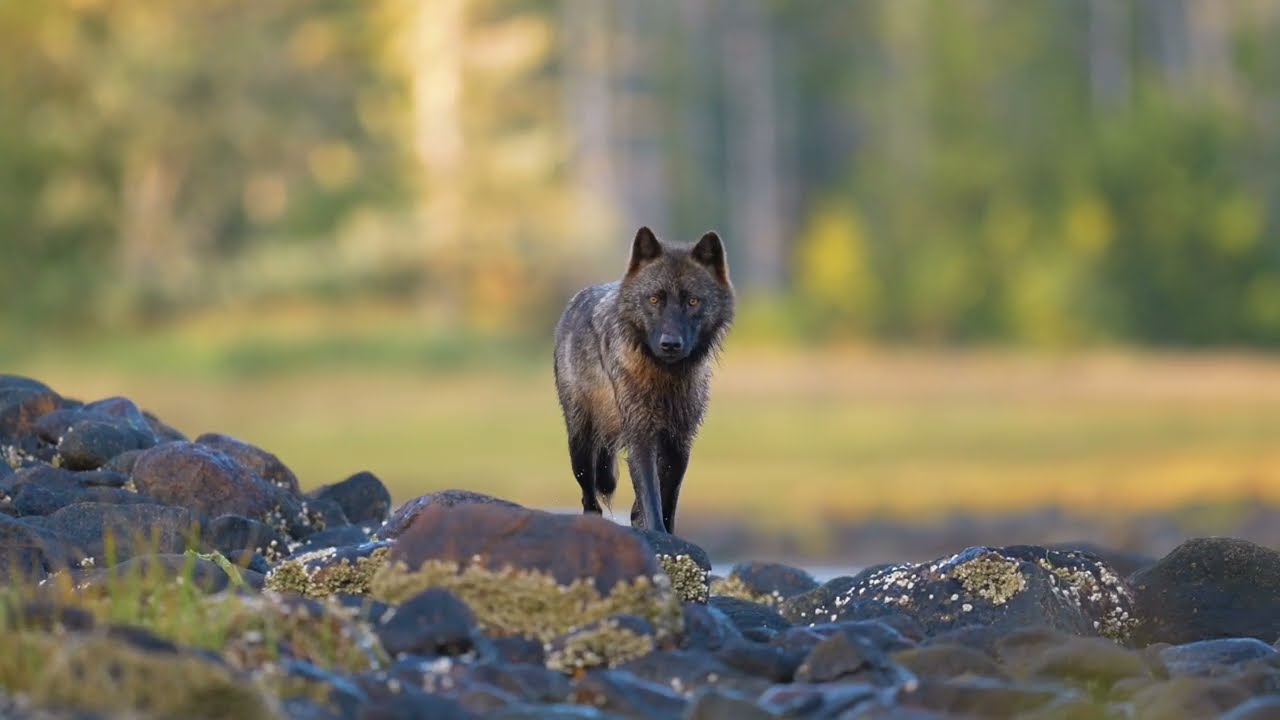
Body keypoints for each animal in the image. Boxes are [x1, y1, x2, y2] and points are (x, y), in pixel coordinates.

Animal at [553, 226, 735, 534]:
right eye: (654, 299)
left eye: (693, 301)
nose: (670, 344)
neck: (664, 378)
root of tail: (577, 298)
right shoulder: (640, 435)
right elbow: (651, 496)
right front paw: (658, 533)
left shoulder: (679, 442)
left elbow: (666, 499)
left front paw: (666, 534)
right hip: (580, 443)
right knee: (589, 497)